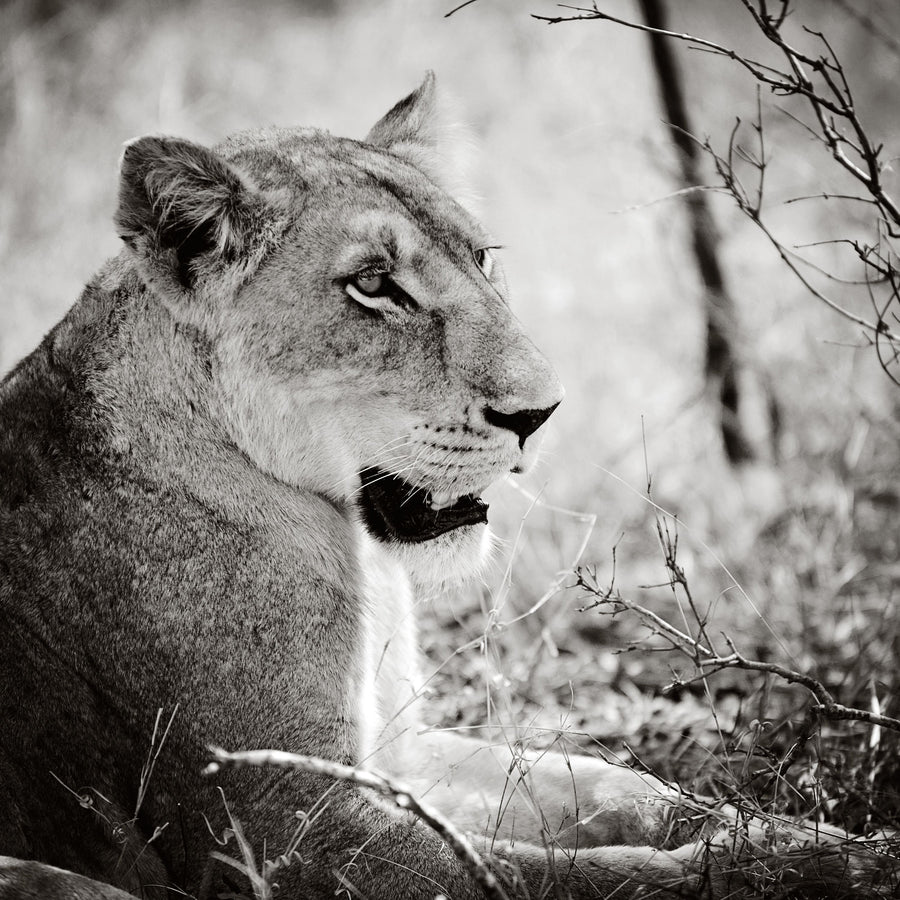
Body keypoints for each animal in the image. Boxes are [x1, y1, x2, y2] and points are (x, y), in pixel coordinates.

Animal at [0, 74, 886, 900]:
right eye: (372, 284)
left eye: (482, 258)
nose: (542, 413)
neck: (359, 556)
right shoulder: (280, 826)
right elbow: (559, 878)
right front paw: (812, 872)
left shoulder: (401, 753)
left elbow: (614, 787)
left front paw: (815, 838)